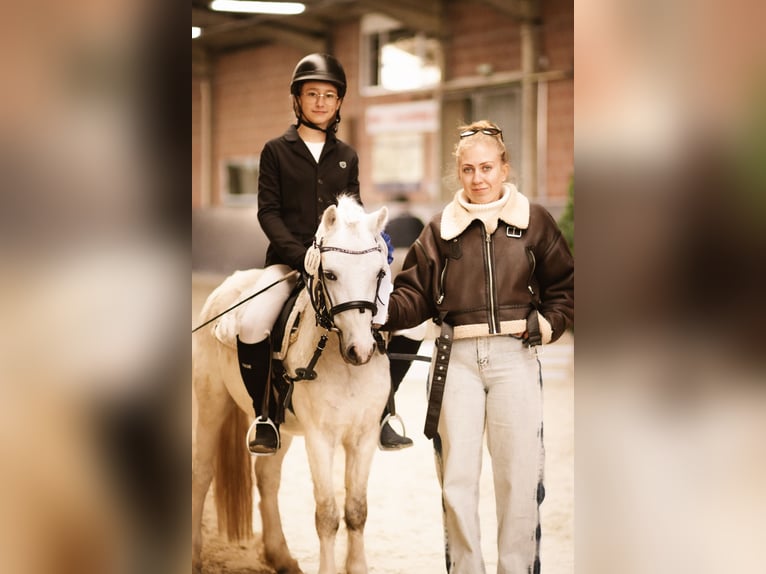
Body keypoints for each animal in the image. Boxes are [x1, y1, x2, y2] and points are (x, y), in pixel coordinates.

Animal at [192, 196, 392, 574]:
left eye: (379, 273)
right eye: (330, 273)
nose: (360, 351)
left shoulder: (364, 436)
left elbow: (356, 511)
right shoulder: (320, 438)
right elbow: (327, 514)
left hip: (276, 423)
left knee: (267, 476)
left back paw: (280, 556)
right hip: (212, 402)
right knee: (202, 472)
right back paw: (194, 558)